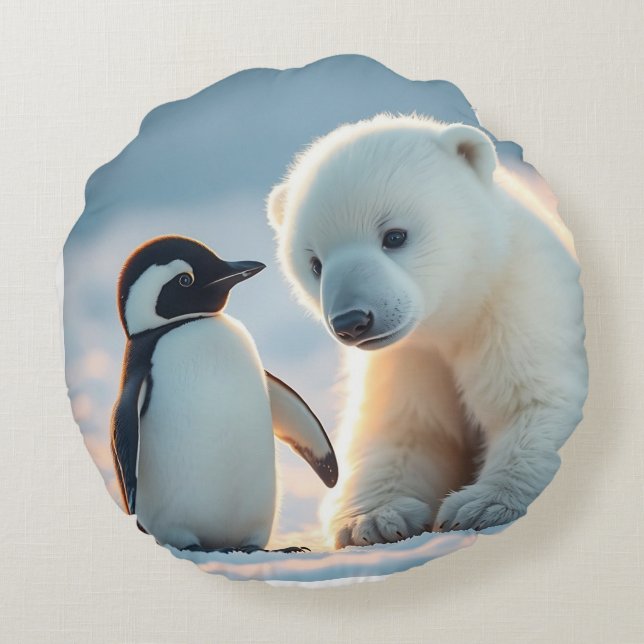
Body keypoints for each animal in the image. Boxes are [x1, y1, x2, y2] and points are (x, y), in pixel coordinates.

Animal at [266, 114, 588, 549]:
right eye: (315, 263)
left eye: (395, 235)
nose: (352, 321)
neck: (455, 313)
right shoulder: (407, 357)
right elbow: (408, 432)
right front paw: (372, 519)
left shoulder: (518, 307)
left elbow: (530, 403)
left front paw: (483, 504)